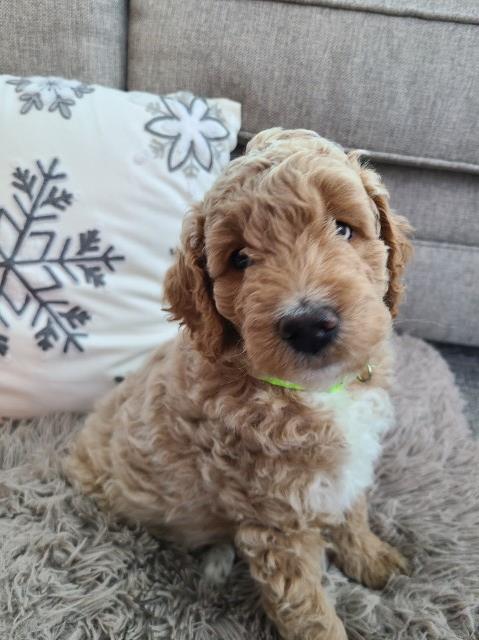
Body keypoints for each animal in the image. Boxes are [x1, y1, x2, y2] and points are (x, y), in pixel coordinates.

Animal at [66, 130, 412, 640]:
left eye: (344, 229)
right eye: (240, 258)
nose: (309, 324)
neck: (315, 390)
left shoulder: (347, 470)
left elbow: (352, 512)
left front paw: (373, 558)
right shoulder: (276, 521)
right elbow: (308, 609)